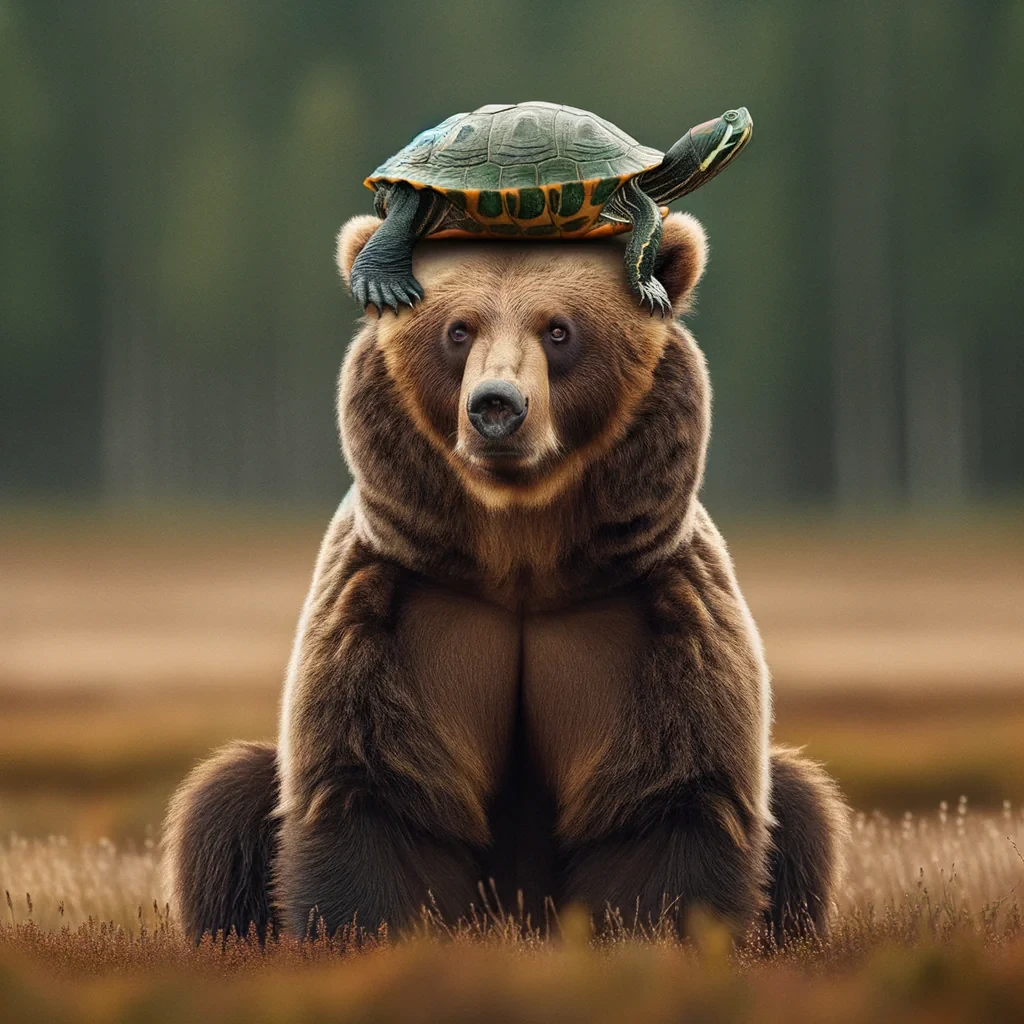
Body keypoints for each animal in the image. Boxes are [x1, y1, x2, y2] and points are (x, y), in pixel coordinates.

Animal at [162, 212, 850, 943]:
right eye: (457, 329)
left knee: (802, 806)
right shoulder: (398, 603)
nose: (496, 406)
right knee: (224, 800)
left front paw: (653, 932)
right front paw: (373, 931)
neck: (521, 556)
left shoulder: (654, 609)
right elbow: (378, 781)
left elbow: (668, 790)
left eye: (560, 329)